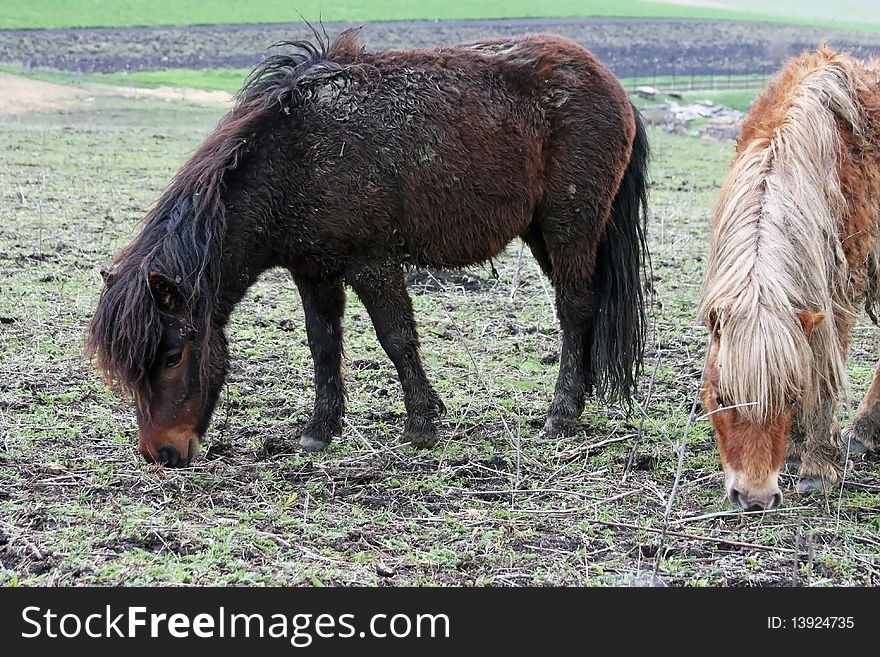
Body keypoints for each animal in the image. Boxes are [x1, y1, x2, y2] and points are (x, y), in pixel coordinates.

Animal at [86, 28, 648, 464]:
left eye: (172, 356)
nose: (161, 453)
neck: (296, 159)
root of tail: (615, 88)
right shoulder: (313, 270)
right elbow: (323, 344)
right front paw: (319, 430)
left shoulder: (372, 263)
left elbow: (396, 338)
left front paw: (421, 425)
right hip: (542, 235)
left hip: (569, 228)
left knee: (574, 310)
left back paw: (561, 414)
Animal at [700, 46, 880, 510]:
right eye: (722, 398)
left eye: (791, 397)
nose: (755, 497)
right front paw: (798, 448)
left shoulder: (837, 297)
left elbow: (824, 372)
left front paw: (816, 464)